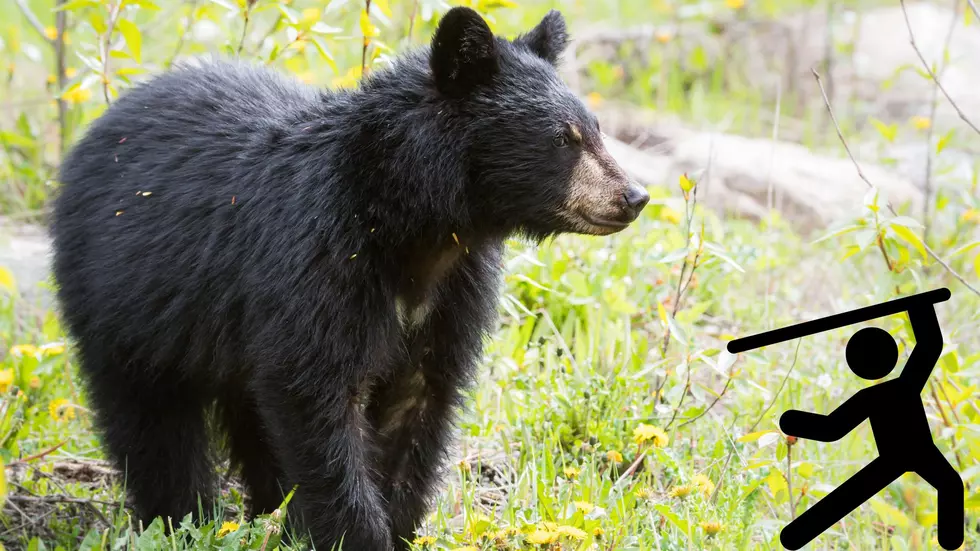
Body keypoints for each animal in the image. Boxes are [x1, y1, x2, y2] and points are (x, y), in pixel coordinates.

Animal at [50, 6, 649, 551]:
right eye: (563, 139)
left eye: (595, 129)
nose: (634, 196)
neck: (416, 227)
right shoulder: (316, 258)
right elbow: (314, 394)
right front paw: (356, 534)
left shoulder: (455, 291)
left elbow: (418, 401)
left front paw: (396, 528)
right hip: (123, 298)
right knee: (152, 420)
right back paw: (182, 517)